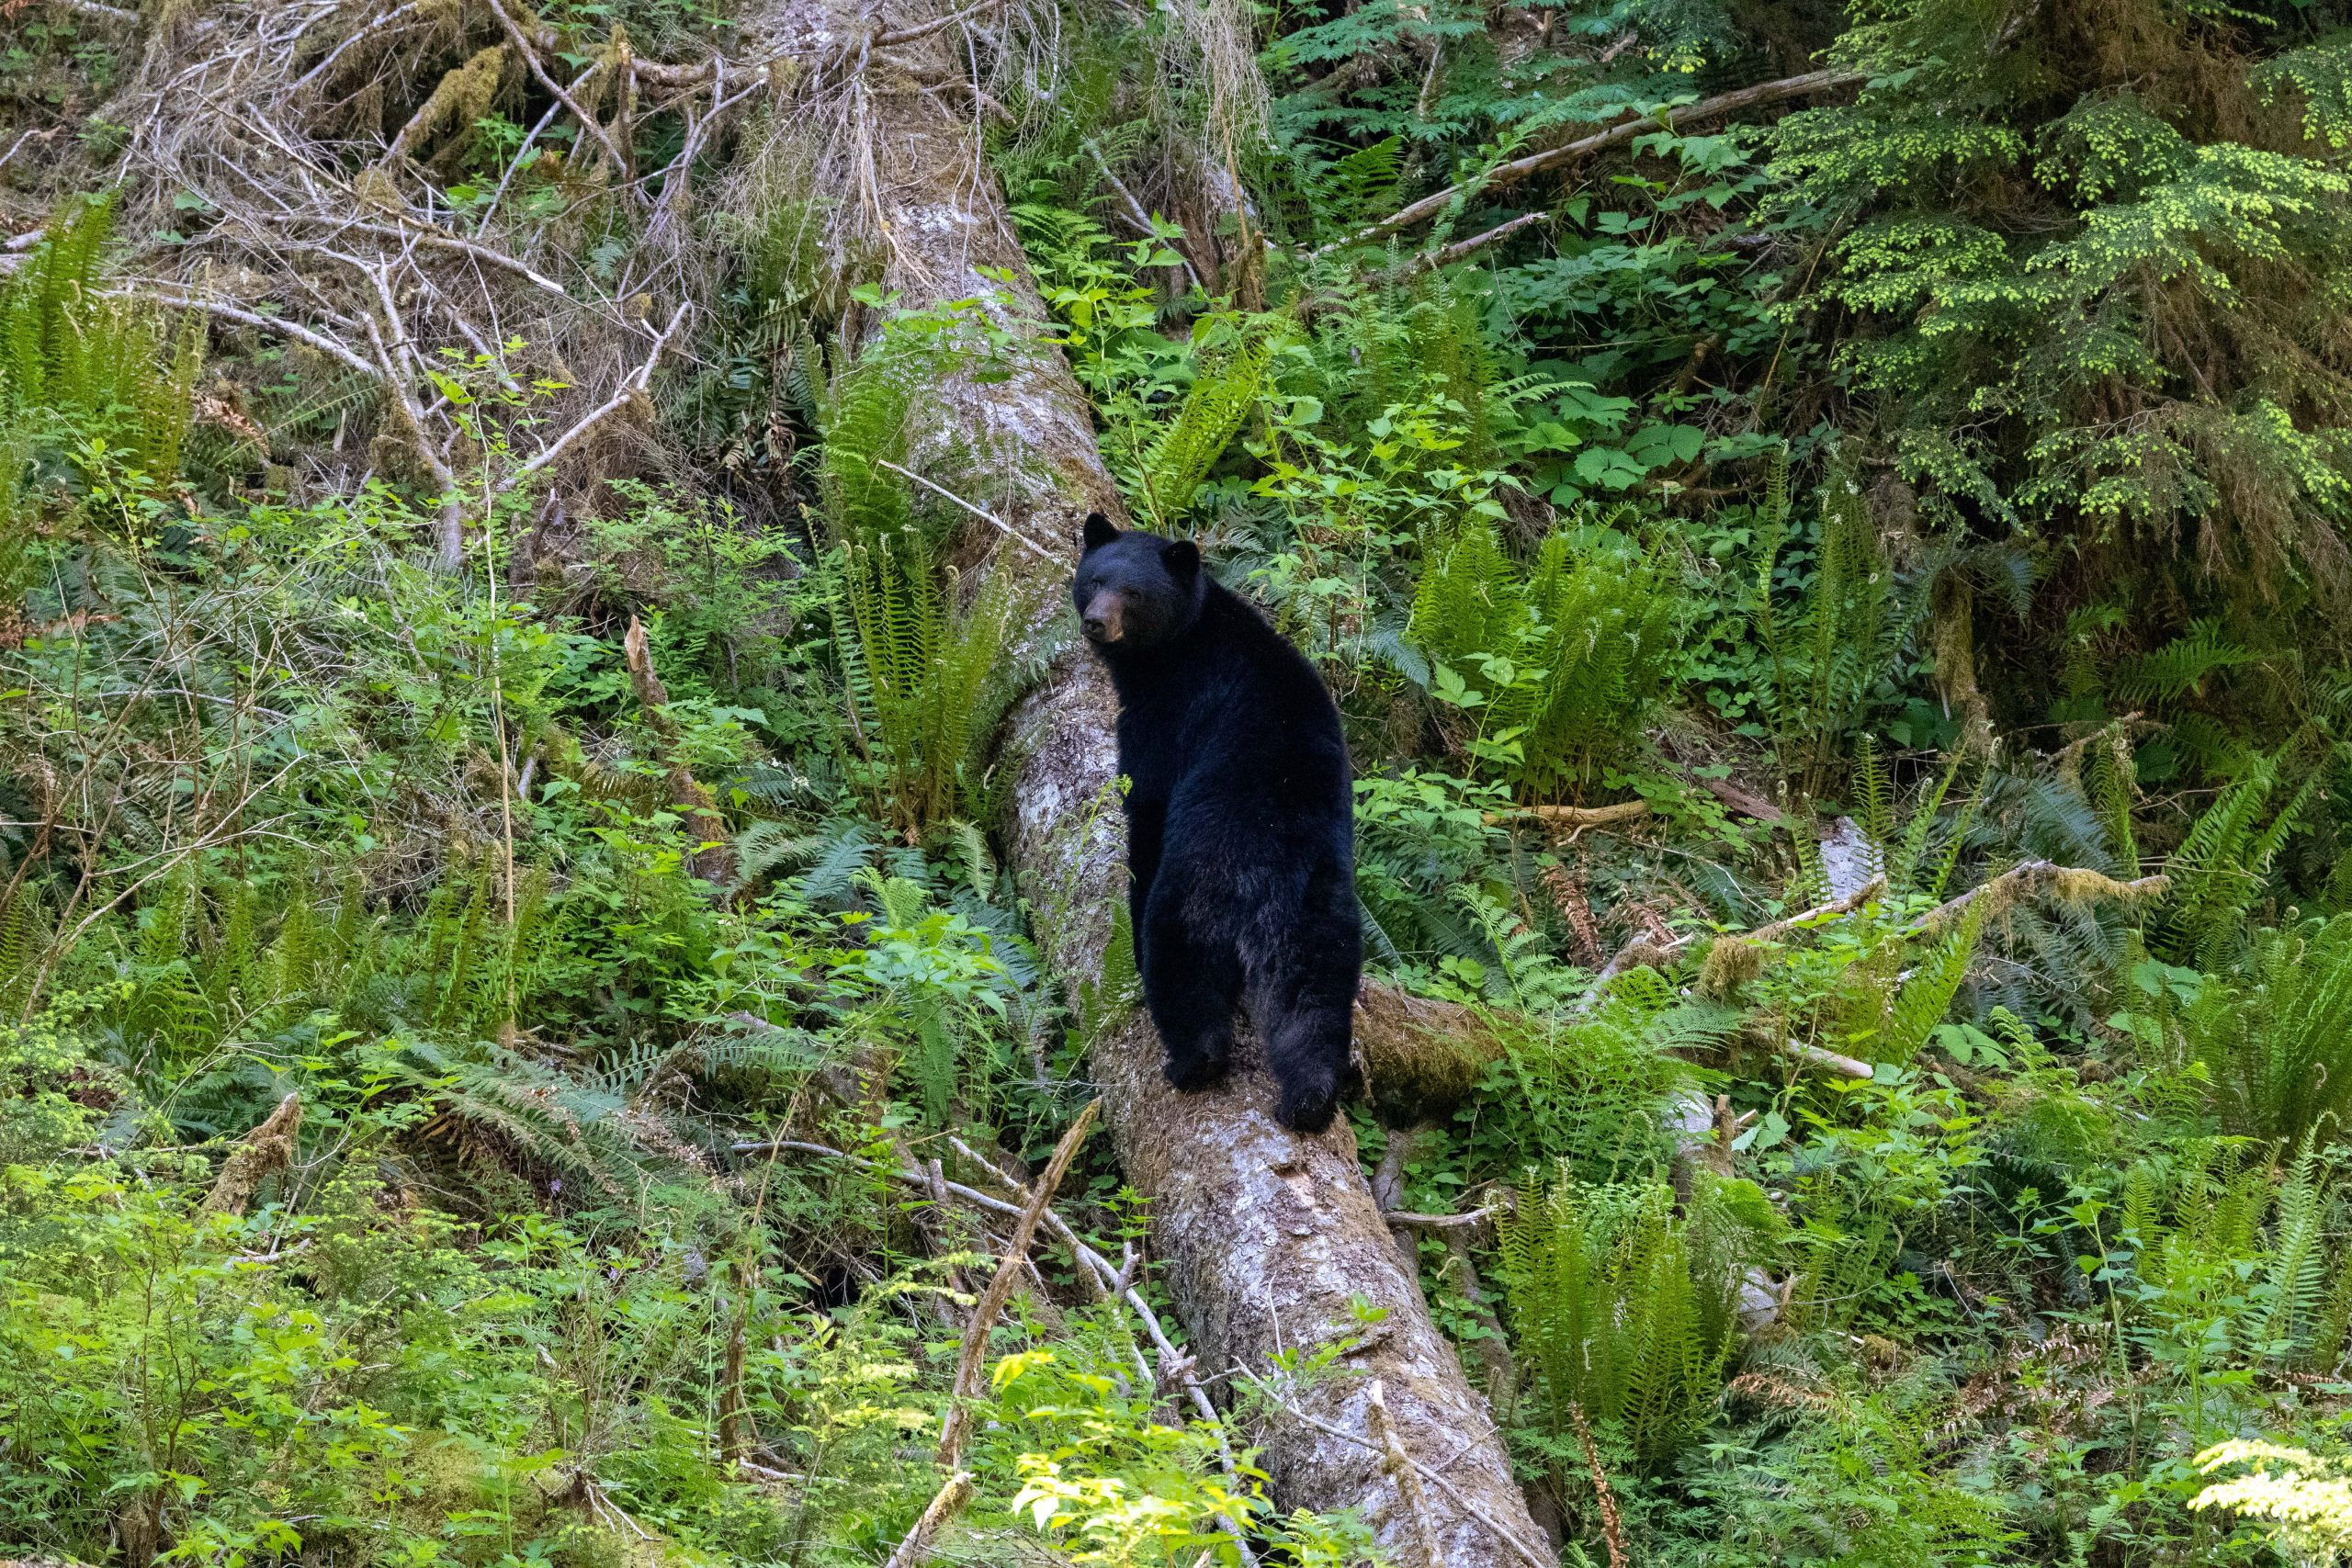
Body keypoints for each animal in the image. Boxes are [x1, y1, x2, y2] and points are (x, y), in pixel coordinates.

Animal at [1072, 512, 1361, 1132]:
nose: (1096, 622)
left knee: (1182, 960)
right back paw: (1312, 1098)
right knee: (1315, 995)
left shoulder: (1168, 715)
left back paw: (1191, 1063)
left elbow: (1145, 803)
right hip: (1321, 903)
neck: (1180, 644)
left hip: (1203, 877)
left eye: (1133, 593)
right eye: (1095, 579)